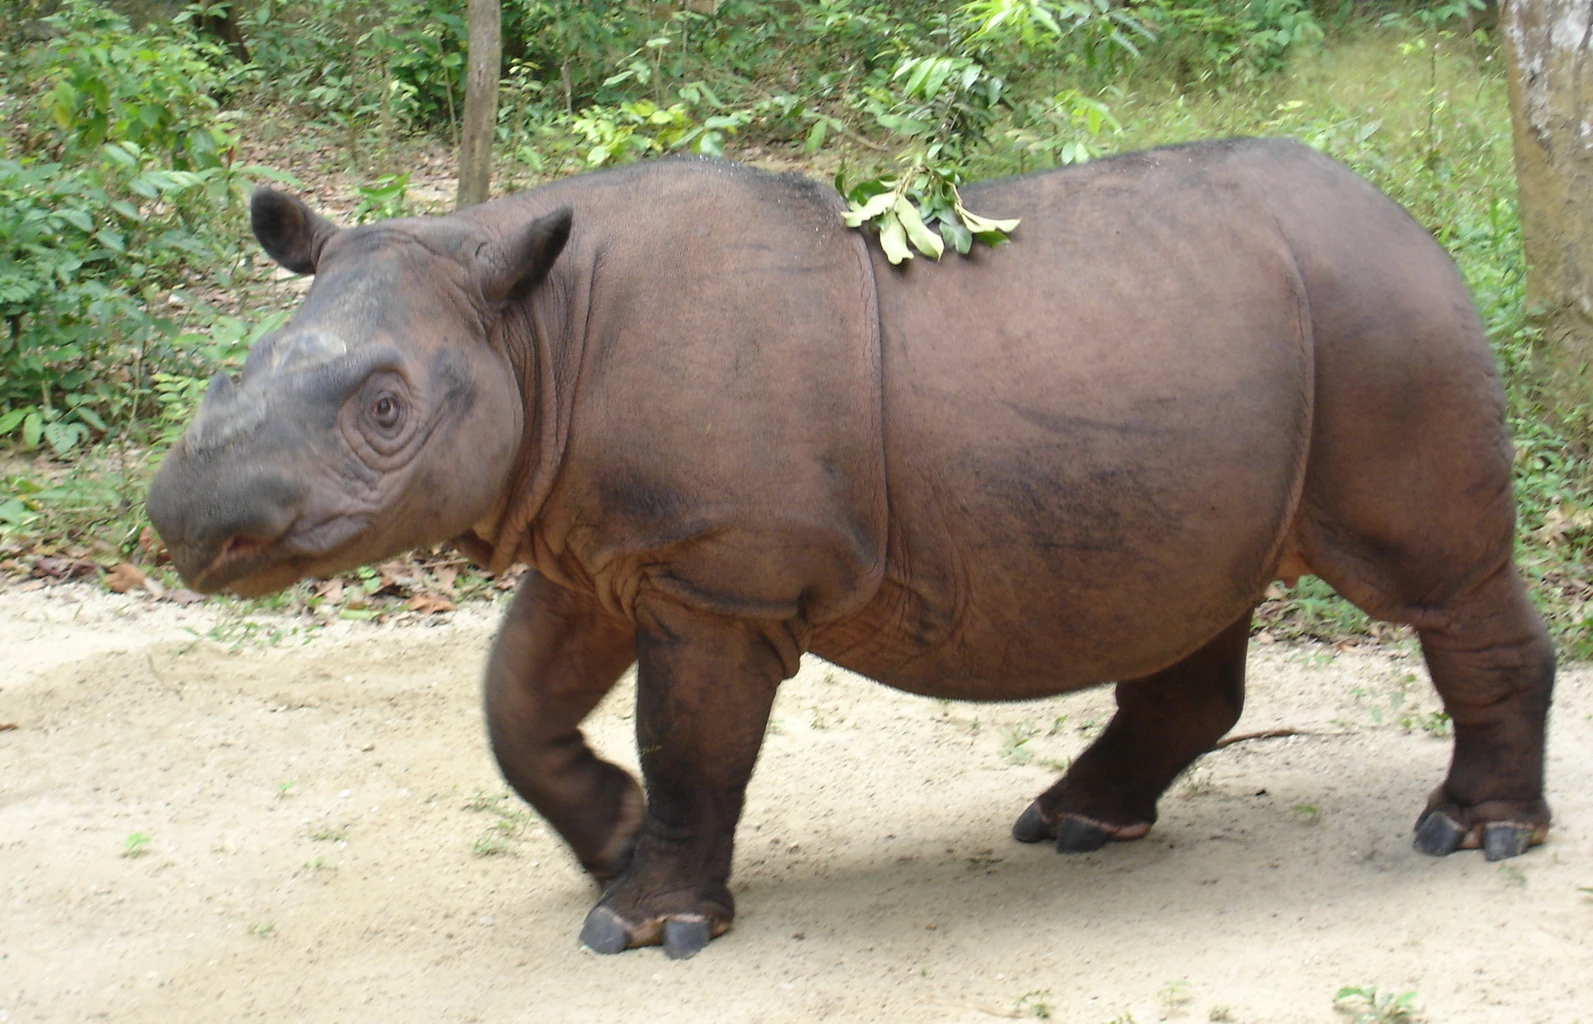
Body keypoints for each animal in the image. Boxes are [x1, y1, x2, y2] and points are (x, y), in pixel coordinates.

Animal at [145, 139, 1554, 959]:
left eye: (387, 412)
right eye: (236, 370)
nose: (183, 521)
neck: (529, 325)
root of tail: (1409, 215)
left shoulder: (717, 571)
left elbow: (692, 739)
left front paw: (644, 928)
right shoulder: (603, 542)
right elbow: (517, 702)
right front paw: (611, 836)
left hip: (1384, 318)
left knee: (1436, 580)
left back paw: (1475, 838)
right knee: (1192, 597)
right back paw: (1074, 826)